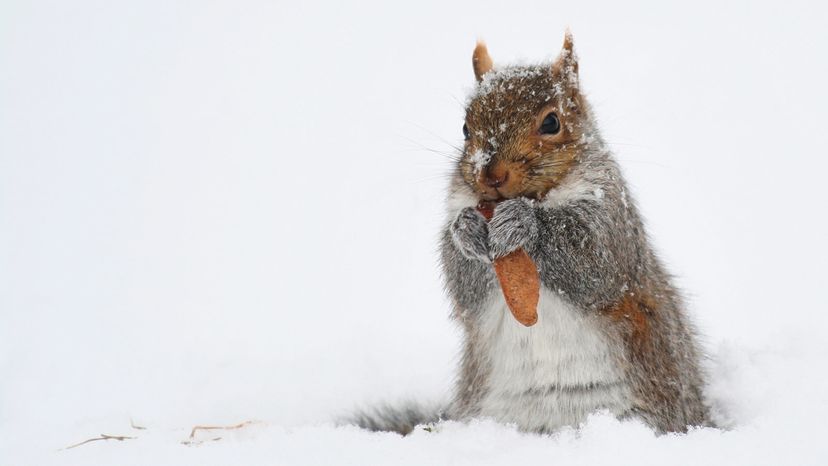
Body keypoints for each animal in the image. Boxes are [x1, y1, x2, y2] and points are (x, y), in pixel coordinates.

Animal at [350, 33, 712, 436]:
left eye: (552, 122)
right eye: (465, 128)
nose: (490, 175)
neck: (537, 197)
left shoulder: (611, 219)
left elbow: (593, 264)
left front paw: (525, 224)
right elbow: (466, 288)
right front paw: (466, 231)